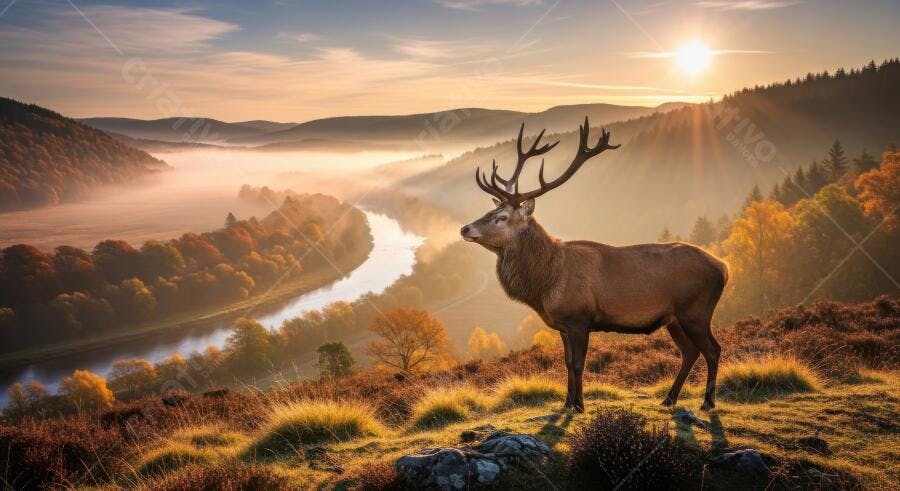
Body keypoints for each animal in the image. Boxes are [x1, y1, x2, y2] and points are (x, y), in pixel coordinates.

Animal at [460, 117, 728, 412]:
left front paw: (579, 405)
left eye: (502, 217)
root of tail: (724, 267)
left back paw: (707, 402)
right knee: (690, 351)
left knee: (713, 349)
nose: (465, 228)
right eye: (491, 211)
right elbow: (566, 363)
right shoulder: (563, 325)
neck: (547, 284)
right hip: (674, 317)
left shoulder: (580, 318)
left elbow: (579, 363)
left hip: (696, 310)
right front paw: (566, 403)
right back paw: (669, 398)